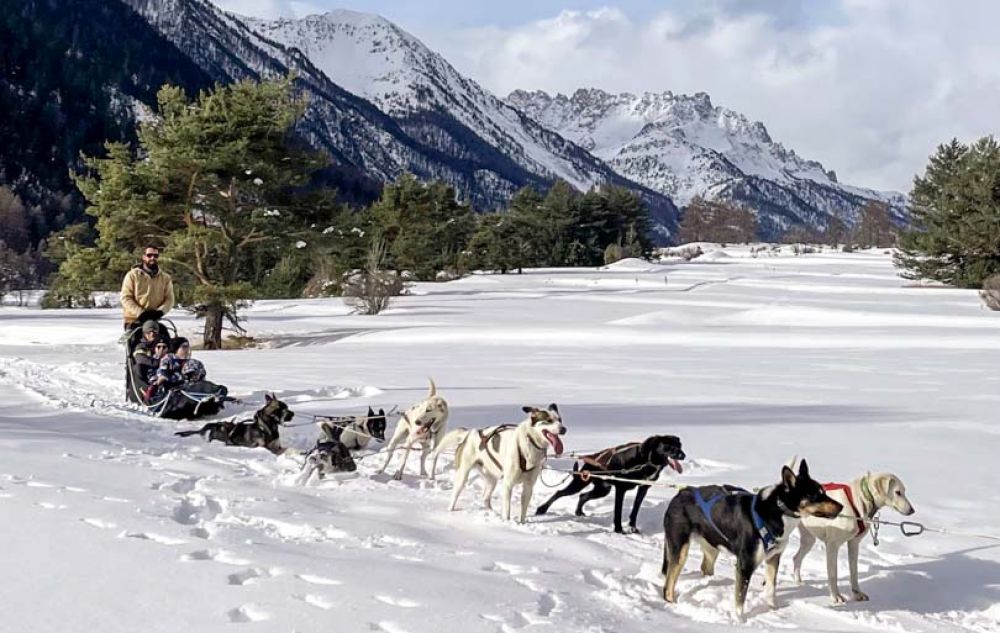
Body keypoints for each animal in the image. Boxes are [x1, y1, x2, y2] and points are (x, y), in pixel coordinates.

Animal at [436, 404, 568, 524]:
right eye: (549, 420)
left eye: (560, 420)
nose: (564, 429)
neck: (528, 444)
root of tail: (470, 434)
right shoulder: (508, 484)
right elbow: (507, 509)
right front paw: (507, 523)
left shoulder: (528, 486)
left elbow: (523, 511)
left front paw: (521, 524)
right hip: (463, 475)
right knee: (455, 495)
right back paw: (451, 511)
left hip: (491, 480)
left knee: (485, 498)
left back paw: (492, 514)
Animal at [536, 434, 684, 532]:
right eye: (669, 447)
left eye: (679, 446)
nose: (683, 455)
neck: (646, 460)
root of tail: (592, 458)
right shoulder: (621, 489)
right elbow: (618, 511)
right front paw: (619, 530)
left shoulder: (643, 488)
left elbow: (635, 509)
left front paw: (633, 527)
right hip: (580, 483)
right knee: (559, 492)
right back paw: (542, 509)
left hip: (602, 490)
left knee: (583, 496)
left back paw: (578, 512)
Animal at [664, 460, 844, 616]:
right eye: (815, 495)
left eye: (824, 492)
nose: (841, 506)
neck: (776, 510)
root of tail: (679, 494)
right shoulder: (745, 565)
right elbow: (740, 599)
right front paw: (739, 620)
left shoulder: (773, 559)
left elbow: (770, 589)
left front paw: (773, 610)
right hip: (681, 552)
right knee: (667, 587)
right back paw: (671, 605)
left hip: (712, 548)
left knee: (705, 568)